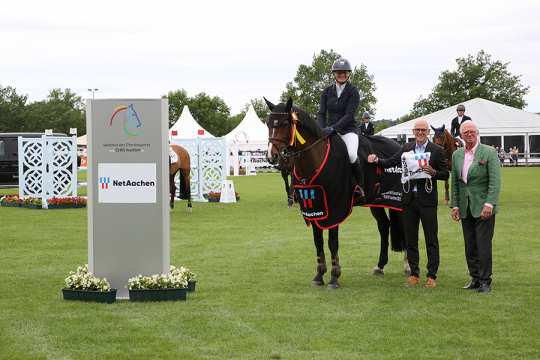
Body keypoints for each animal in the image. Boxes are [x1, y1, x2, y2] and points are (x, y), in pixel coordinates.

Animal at [266, 97, 404, 286]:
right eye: (268, 123)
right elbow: (318, 241)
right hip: (376, 201)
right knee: (384, 226)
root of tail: (398, 145)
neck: (315, 159)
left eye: (285, 123)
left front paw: (334, 277)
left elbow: (332, 242)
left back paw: (408, 266)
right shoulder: (314, 208)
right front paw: (319, 275)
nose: (271, 156)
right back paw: (380, 266)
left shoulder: (335, 207)